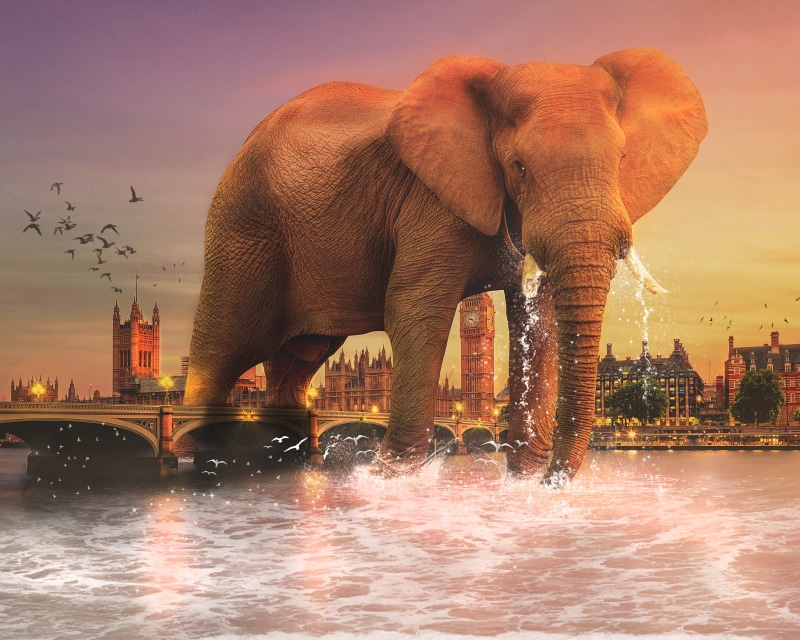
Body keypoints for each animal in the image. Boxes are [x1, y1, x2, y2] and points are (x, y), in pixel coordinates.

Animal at [185, 47, 707, 484]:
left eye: (623, 160)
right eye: (518, 167)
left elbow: (537, 325)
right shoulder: (427, 212)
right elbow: (413, 314)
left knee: (294, 363)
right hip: (240, 238)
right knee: (217, 354)